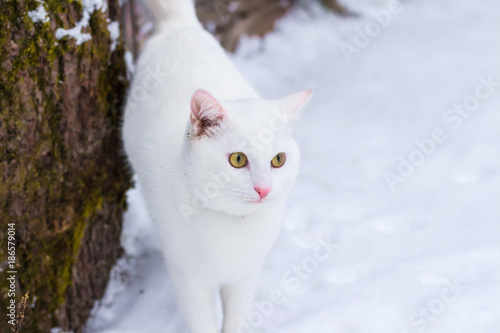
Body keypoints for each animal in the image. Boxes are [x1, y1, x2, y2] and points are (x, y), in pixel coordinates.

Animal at [122, 1, 310, 330]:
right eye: (238, 159)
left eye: (278, 160)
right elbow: (203, 323)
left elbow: (236, 319)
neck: (231, 226)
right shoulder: (190, 282)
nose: (263, 189)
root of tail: (180, 26)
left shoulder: (245, 277)